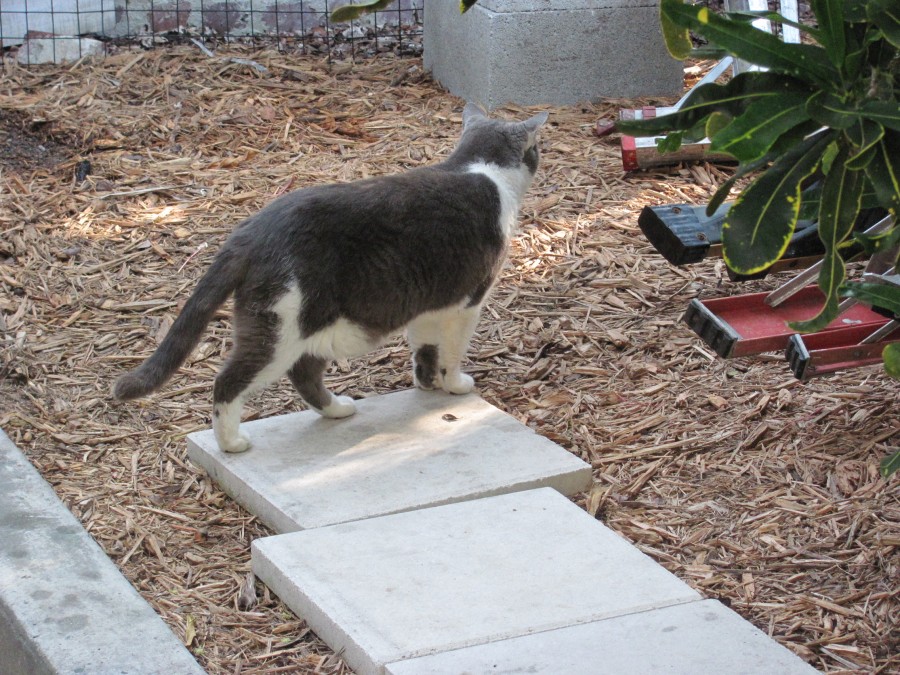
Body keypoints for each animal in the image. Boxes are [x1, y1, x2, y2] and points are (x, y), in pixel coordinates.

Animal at [114, 104, 548, 454]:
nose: (540, 154)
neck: (480, 169)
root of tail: (250, 231)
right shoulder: (467, 303)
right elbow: (452, 351)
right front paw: (455, 385)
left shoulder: (428, 303)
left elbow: (425, 348)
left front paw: (426, 384)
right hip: (284, 327)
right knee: (230, 381)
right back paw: (232, 443)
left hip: (316, 324)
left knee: (303, 373)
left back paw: (337, 409)